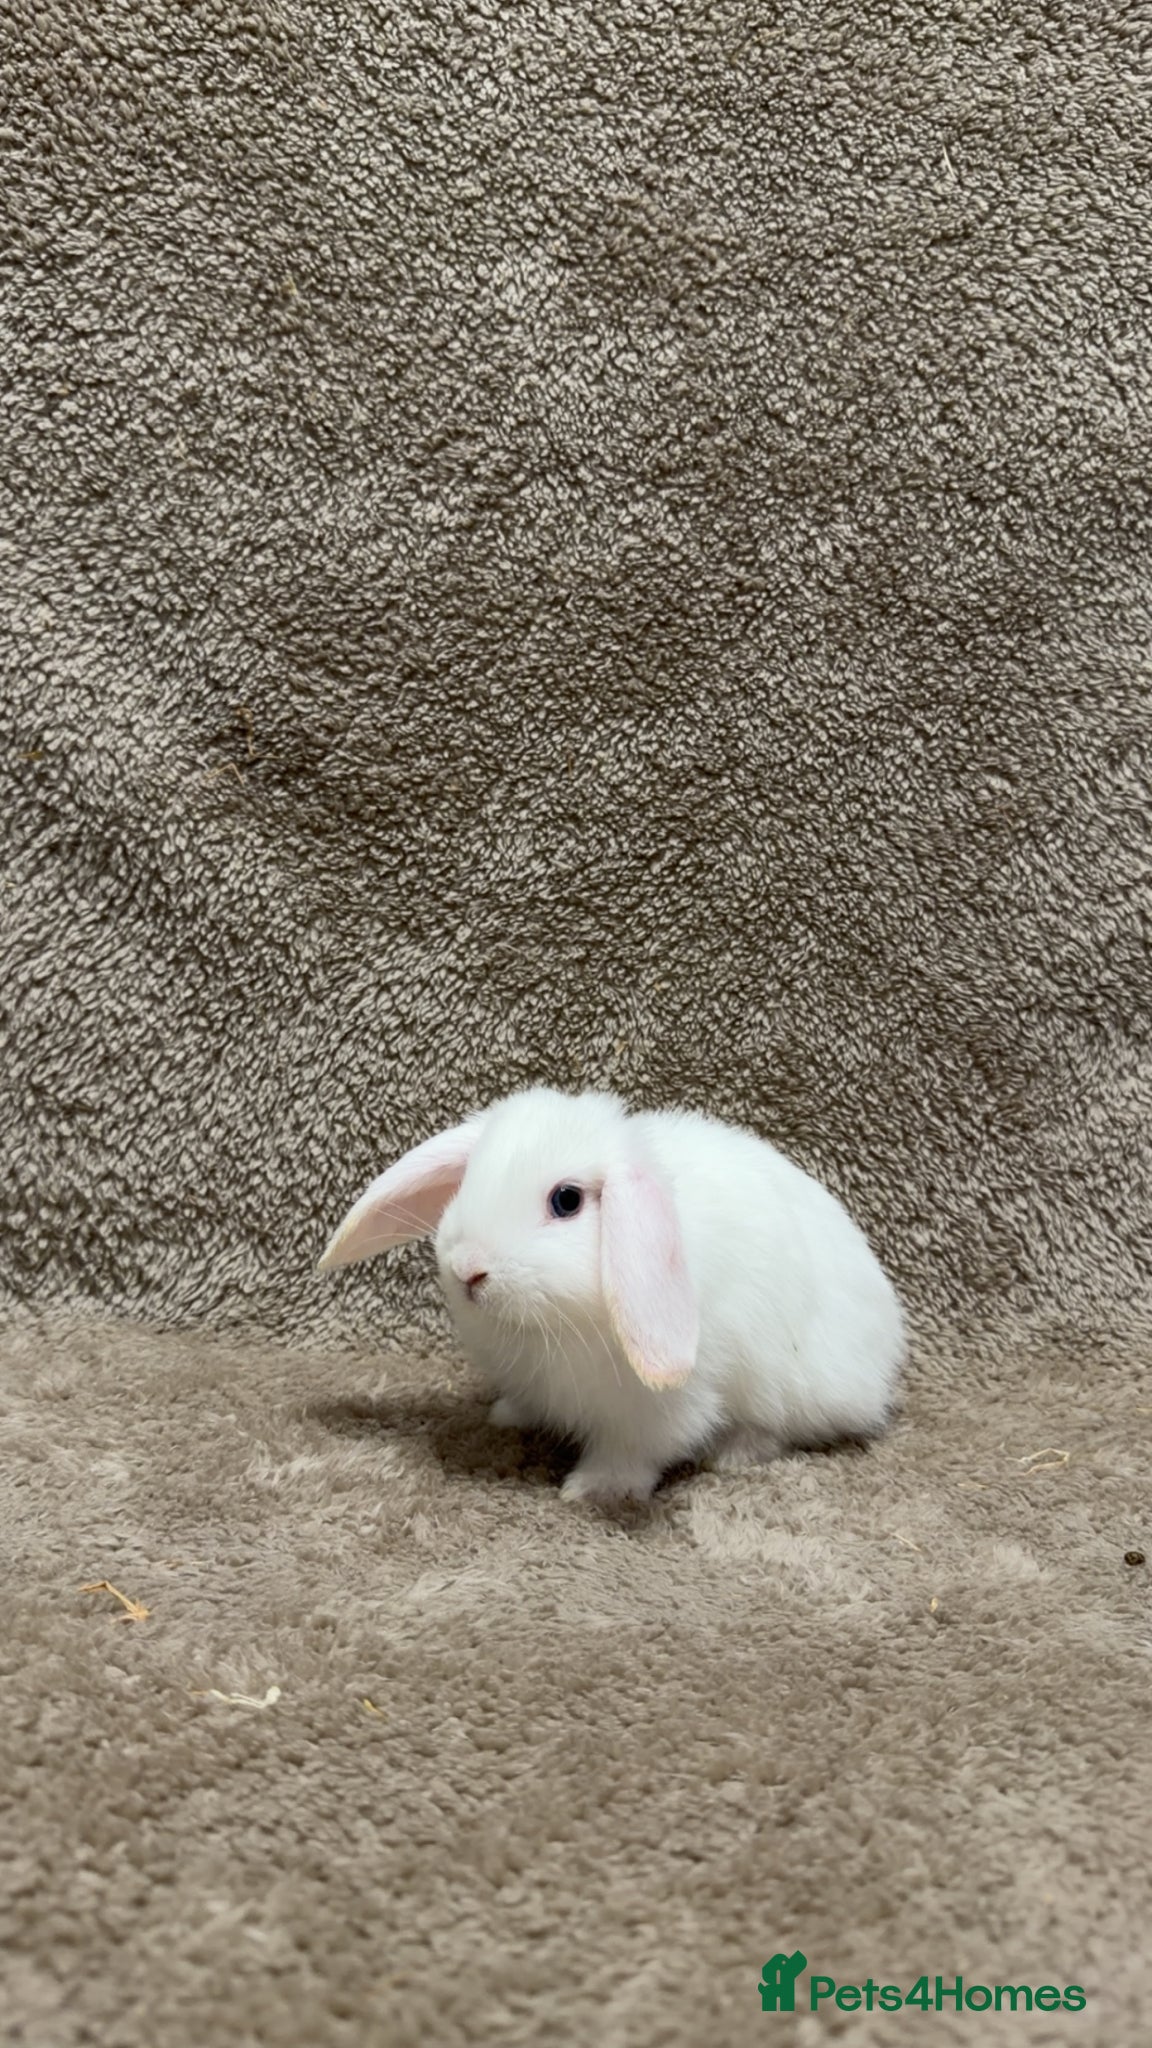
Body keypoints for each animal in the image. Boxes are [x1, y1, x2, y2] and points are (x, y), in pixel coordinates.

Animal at [317, 1086, 906, 1505]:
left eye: (567, 1200)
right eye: (468, 1180)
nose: (467, 1269)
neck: (551, 1326)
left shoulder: (656, 1410)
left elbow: (633, 1451)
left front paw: (592, 1490)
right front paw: (507, 1416)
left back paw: (732, 1455)